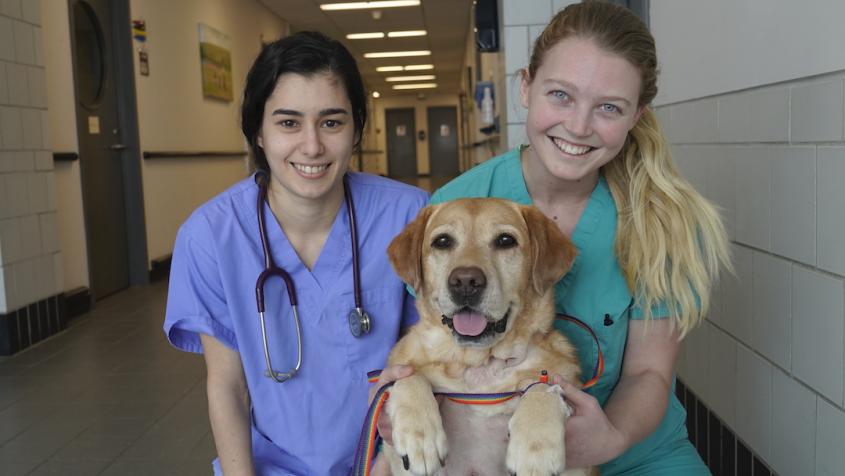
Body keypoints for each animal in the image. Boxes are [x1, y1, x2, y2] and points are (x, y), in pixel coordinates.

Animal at [382, 198, 592, 476]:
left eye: (505, 240)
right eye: (442, 241)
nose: (465, 282)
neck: (479, 363)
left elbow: (542, 386)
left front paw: (536, 449)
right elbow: (409, 375)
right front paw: (419, 435)